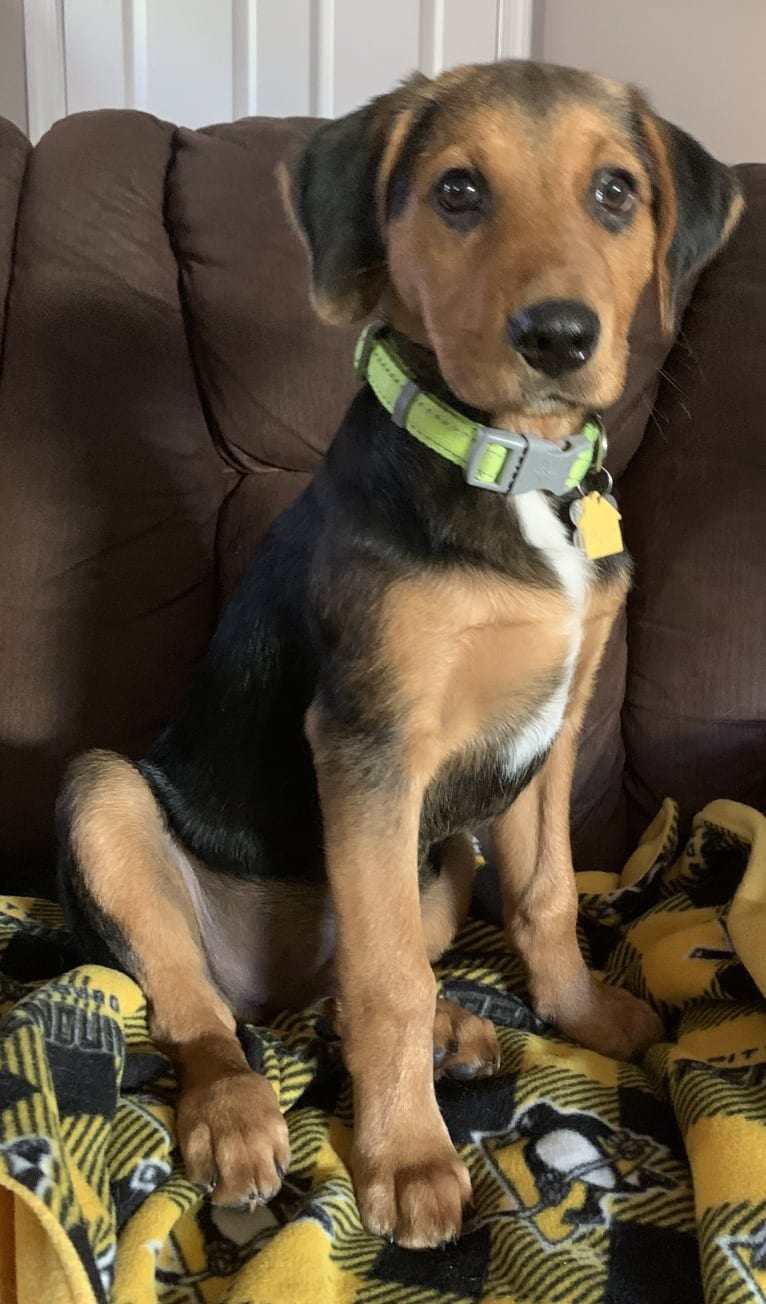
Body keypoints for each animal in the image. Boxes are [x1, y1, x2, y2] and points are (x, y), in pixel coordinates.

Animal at [58, 63, 741, 1251]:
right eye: (458, 191)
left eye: (615, 192)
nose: (559, 337)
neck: (512, 462)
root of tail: (267, 978)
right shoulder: (369, 742)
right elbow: (387, 981)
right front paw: (407, 1158)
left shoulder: (552, 737)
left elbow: (546, 899)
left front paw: (584, 1014)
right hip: (112, 803)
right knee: (202, 1006)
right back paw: (238, 1114)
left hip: (446, 847)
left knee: (342, 989)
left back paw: (454, 1033)